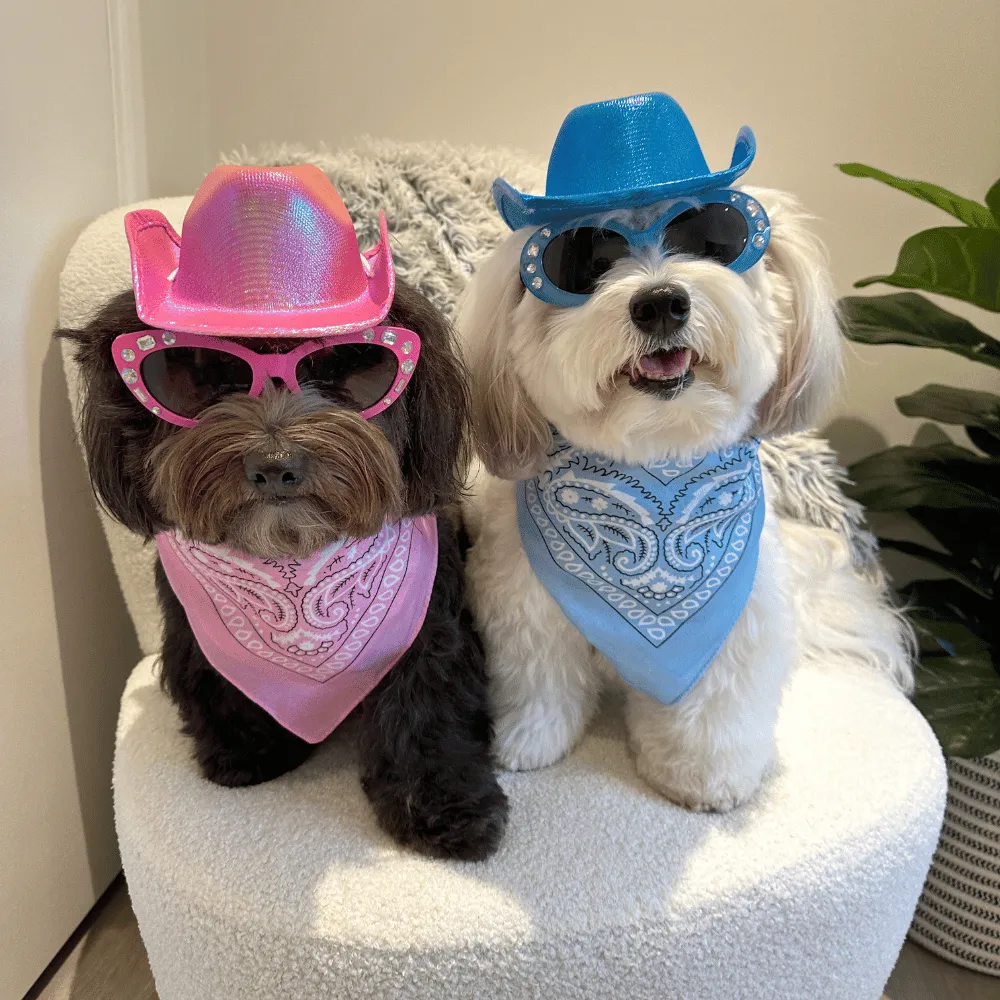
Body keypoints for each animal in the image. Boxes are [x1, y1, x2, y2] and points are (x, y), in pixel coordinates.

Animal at [460, 188, 916, 812]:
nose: (660, 303)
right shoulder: (526, 602)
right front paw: (529, 741)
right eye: (588, 260)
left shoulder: (733, 623)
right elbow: (540, 679)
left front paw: (704, 778)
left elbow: (712, 711)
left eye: (710, 239)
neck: (657, 468)